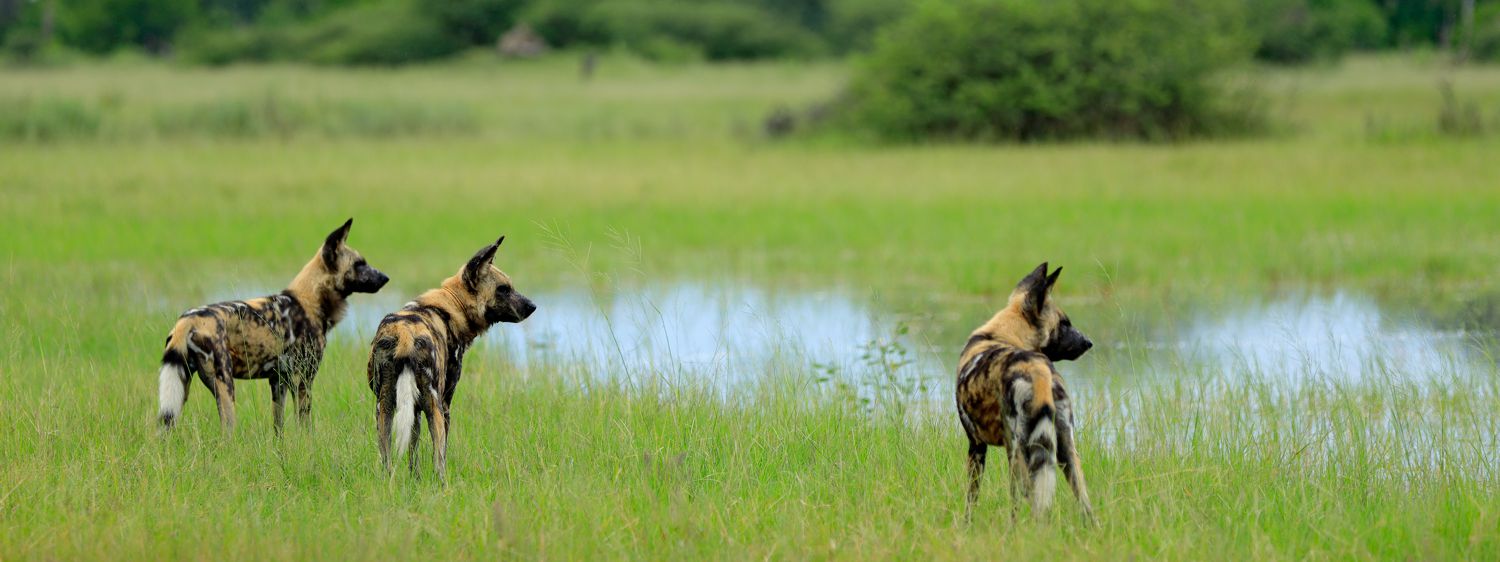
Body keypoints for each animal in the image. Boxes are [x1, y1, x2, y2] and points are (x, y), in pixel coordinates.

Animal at [156, 220, 390, 434]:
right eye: (359, 264)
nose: (385, 277)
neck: (309, 301)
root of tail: (188, 320)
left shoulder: (279, 381)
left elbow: (279, 427)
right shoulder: (303, 380)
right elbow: (304, 427)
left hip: (178, 389)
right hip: (225, 385)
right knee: (226, 431)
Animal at [366, 235, 537, 482]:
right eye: (503, 289)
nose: (532, 306)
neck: (451, 306)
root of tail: (406, 334)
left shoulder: (413, 411)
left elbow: (412, 453)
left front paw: (414, 480)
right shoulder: (445, 404)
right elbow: (441, 452)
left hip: (384, 408)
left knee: (386, 461)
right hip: (436, 408)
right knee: (439, 462)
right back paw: (443, 485)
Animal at [954, 263, 1098, 524]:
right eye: (1064, 323)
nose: (1088, 342)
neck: (1002, 334)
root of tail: (1038, 367)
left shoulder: (976, 446)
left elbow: (971, 500)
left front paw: (966, 526)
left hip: (1018, 452)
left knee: (1020, 503)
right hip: (1065, 451)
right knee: (1085, 505)